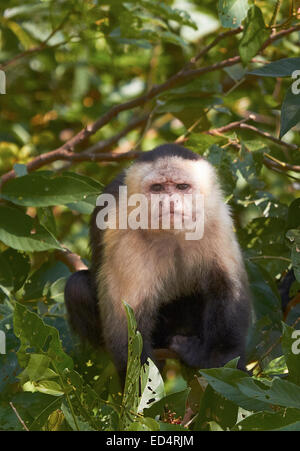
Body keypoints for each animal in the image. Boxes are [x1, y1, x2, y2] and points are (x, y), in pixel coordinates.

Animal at [65, 145, 251, 382]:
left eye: (182, 187)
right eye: (157, 188)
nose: (170, 201)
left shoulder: (216, 220)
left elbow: (227, 288)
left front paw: (221, 359)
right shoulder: (125, 235)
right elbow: (126, 320)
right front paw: (143, 382)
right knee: (76, 286)